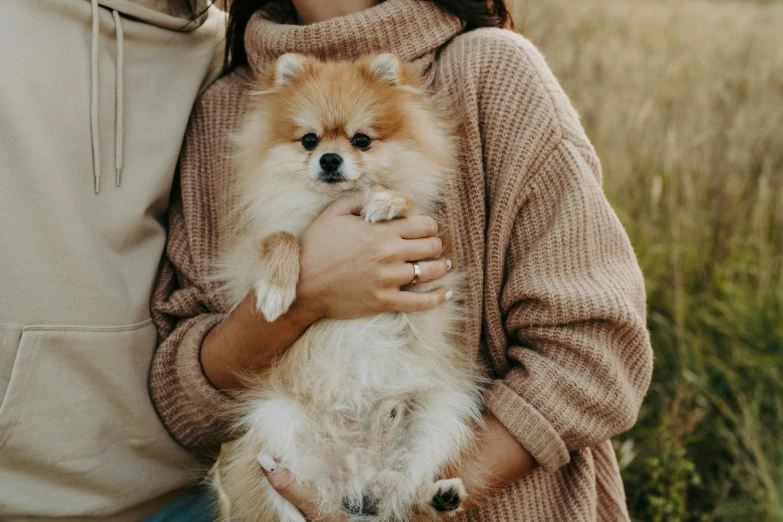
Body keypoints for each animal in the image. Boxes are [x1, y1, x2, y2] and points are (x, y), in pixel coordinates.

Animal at [211, 52, 486, 520]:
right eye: (309, 140)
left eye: (361, 140)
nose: (329, 159)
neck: (330, 206)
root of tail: (358, 481)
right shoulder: (249, 258)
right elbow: (281, 238)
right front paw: (276, 291)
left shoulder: (423, 281)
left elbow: (404, 201)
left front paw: (387, 201)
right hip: (276, 427)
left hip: (439, 415)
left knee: (404, 494)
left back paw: (441, 494)